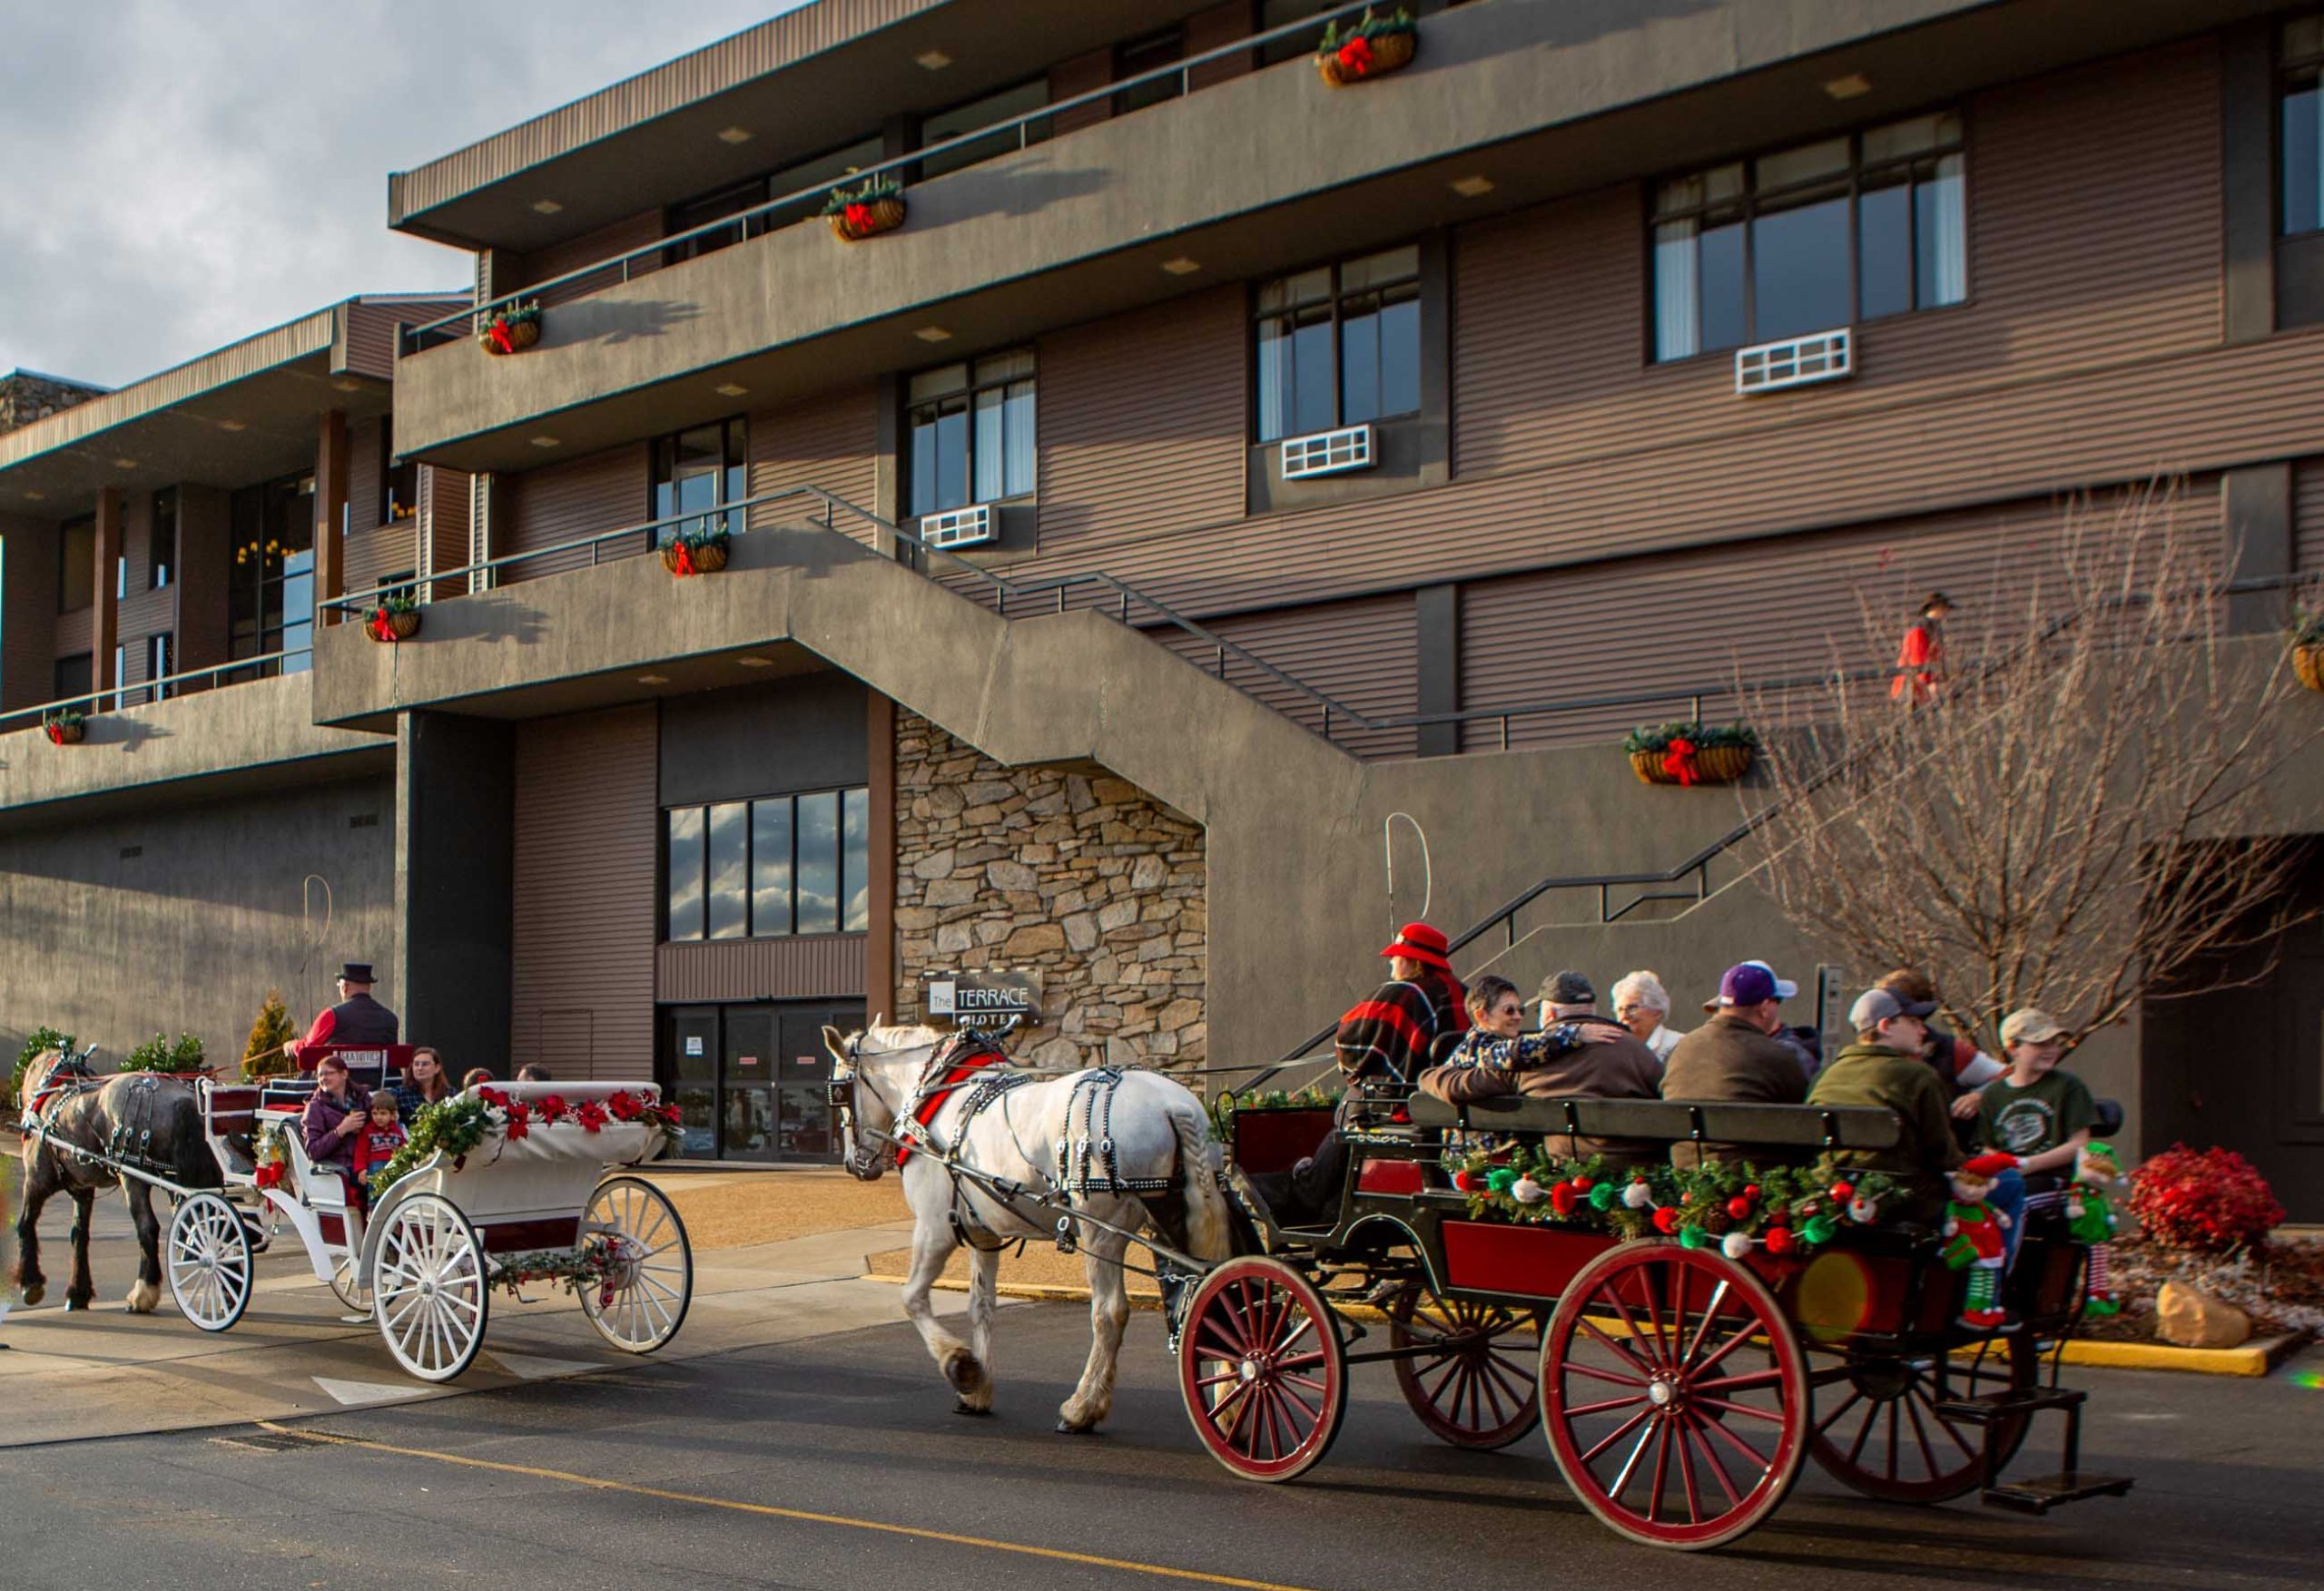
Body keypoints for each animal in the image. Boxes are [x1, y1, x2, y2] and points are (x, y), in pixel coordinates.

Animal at [12, 1049, 222, 1310]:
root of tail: (182, 1100)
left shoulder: (36, 1180)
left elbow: (25, 1223)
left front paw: (30, 1283)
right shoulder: (83, 1190)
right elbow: (79, 1234)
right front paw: (78, 1292)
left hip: (133, 1178)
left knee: (148, 1228)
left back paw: (142, 1292)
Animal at [832, 1022, 1246, 1430]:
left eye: (839, 1092)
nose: (855, 1163)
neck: (939, 1095)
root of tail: (1175, 1104)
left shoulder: (935, 1228)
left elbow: (912, 1298)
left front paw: (961, 1366)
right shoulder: (983, 1234)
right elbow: (981, 1305)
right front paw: (978, 1392)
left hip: (1104, 1229)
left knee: (1109, 1312)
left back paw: (1082, 1407)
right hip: (1176, 1216)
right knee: (1218, 1300)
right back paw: (1228, 1402)